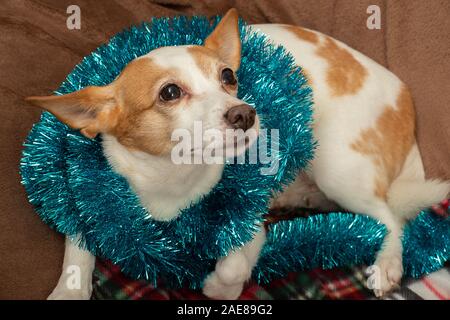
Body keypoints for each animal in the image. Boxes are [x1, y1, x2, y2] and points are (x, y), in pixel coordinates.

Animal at [26, 10, 448, 300]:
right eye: (169, 93)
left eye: (228, 76)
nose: (245, 112)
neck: (172, 180)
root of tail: (404, 101)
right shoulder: (86, 198)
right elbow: (78, 246)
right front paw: (68, 291)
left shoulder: (251, 220)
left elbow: (234, 265)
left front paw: (218, 285)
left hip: (336, 167)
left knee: (390, 217)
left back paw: (387, 264)